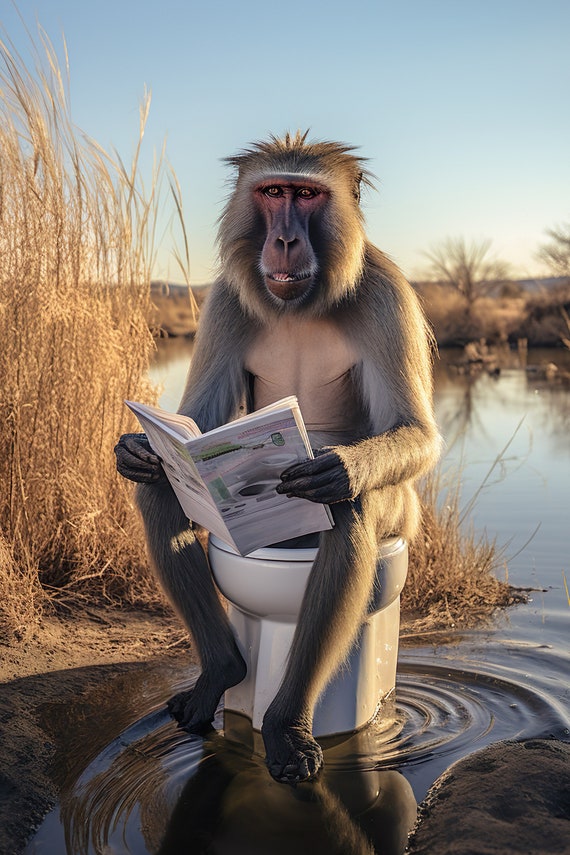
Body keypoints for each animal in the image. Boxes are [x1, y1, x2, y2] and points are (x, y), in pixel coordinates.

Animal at [115, 131, 441, 785]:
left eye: (306, 195)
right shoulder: (223, 301)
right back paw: (221, 672)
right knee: (162, 490)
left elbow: (415, 431)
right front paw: (138, 448)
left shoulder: (388, 291)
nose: (286, 239)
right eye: (272, 193)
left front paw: (340, 468)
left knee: (351, 511)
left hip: (392, 520)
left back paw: (286, 725)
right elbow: (194, 422)